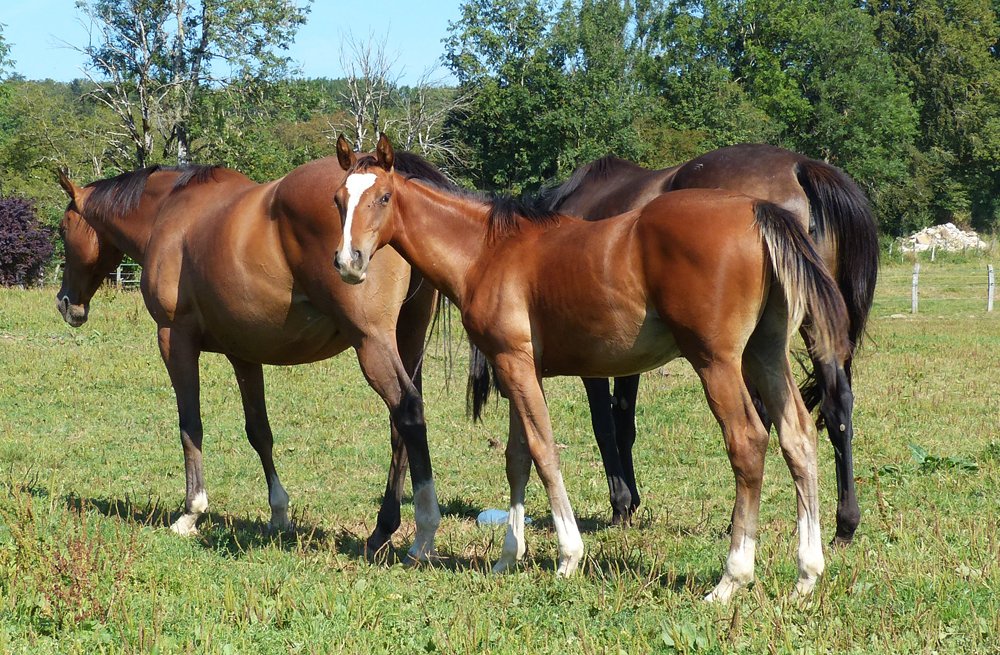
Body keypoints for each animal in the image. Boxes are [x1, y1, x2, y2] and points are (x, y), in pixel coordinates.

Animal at [55, 153, 450, 560]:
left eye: (62, 229)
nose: (66, 303)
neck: (168, 211)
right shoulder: (243, 353)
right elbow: (259, 432)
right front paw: (278, 512)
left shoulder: (174, 339)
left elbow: (190, 426)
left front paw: (191, 512)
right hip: (407, 340)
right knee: (400, 424)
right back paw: (382, 529)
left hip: (372, 341)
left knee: (407, 412)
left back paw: (422, 534)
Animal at [540, 146, 877, 543]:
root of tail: (799, 167)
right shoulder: (626, 353)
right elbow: (624, 421)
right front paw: (632, 501)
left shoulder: (594, 356)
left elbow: (604, 425)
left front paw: (621, 504)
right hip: (814, 323)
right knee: (837, 406)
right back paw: (845, 524)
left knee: (761, 420)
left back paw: (739, 523)